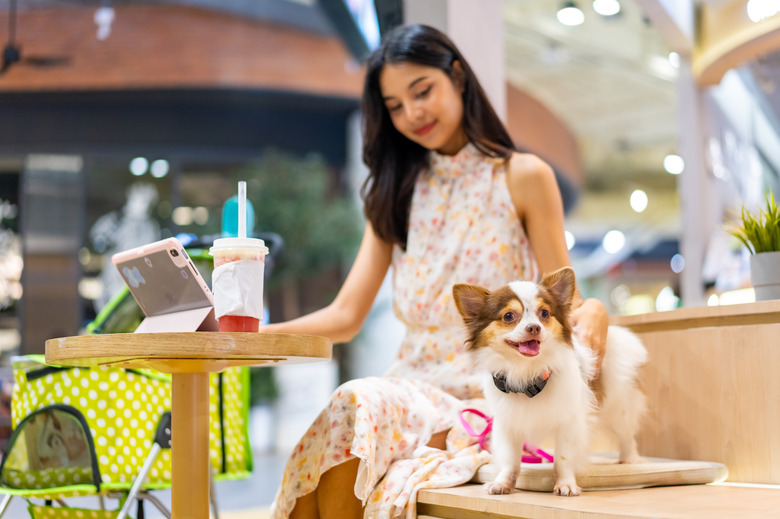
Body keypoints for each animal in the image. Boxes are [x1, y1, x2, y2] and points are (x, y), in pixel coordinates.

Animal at [450, 268, 644, 496]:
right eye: (508, 316)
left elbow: (563, 458)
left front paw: (565, 484)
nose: (534, 327)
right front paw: (503, 483)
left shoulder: (569, 422)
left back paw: (629, 459)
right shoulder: (508, 424)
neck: (526, 374)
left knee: (626, 434)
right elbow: (510, 459)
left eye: (544, 313)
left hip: (618, 407)